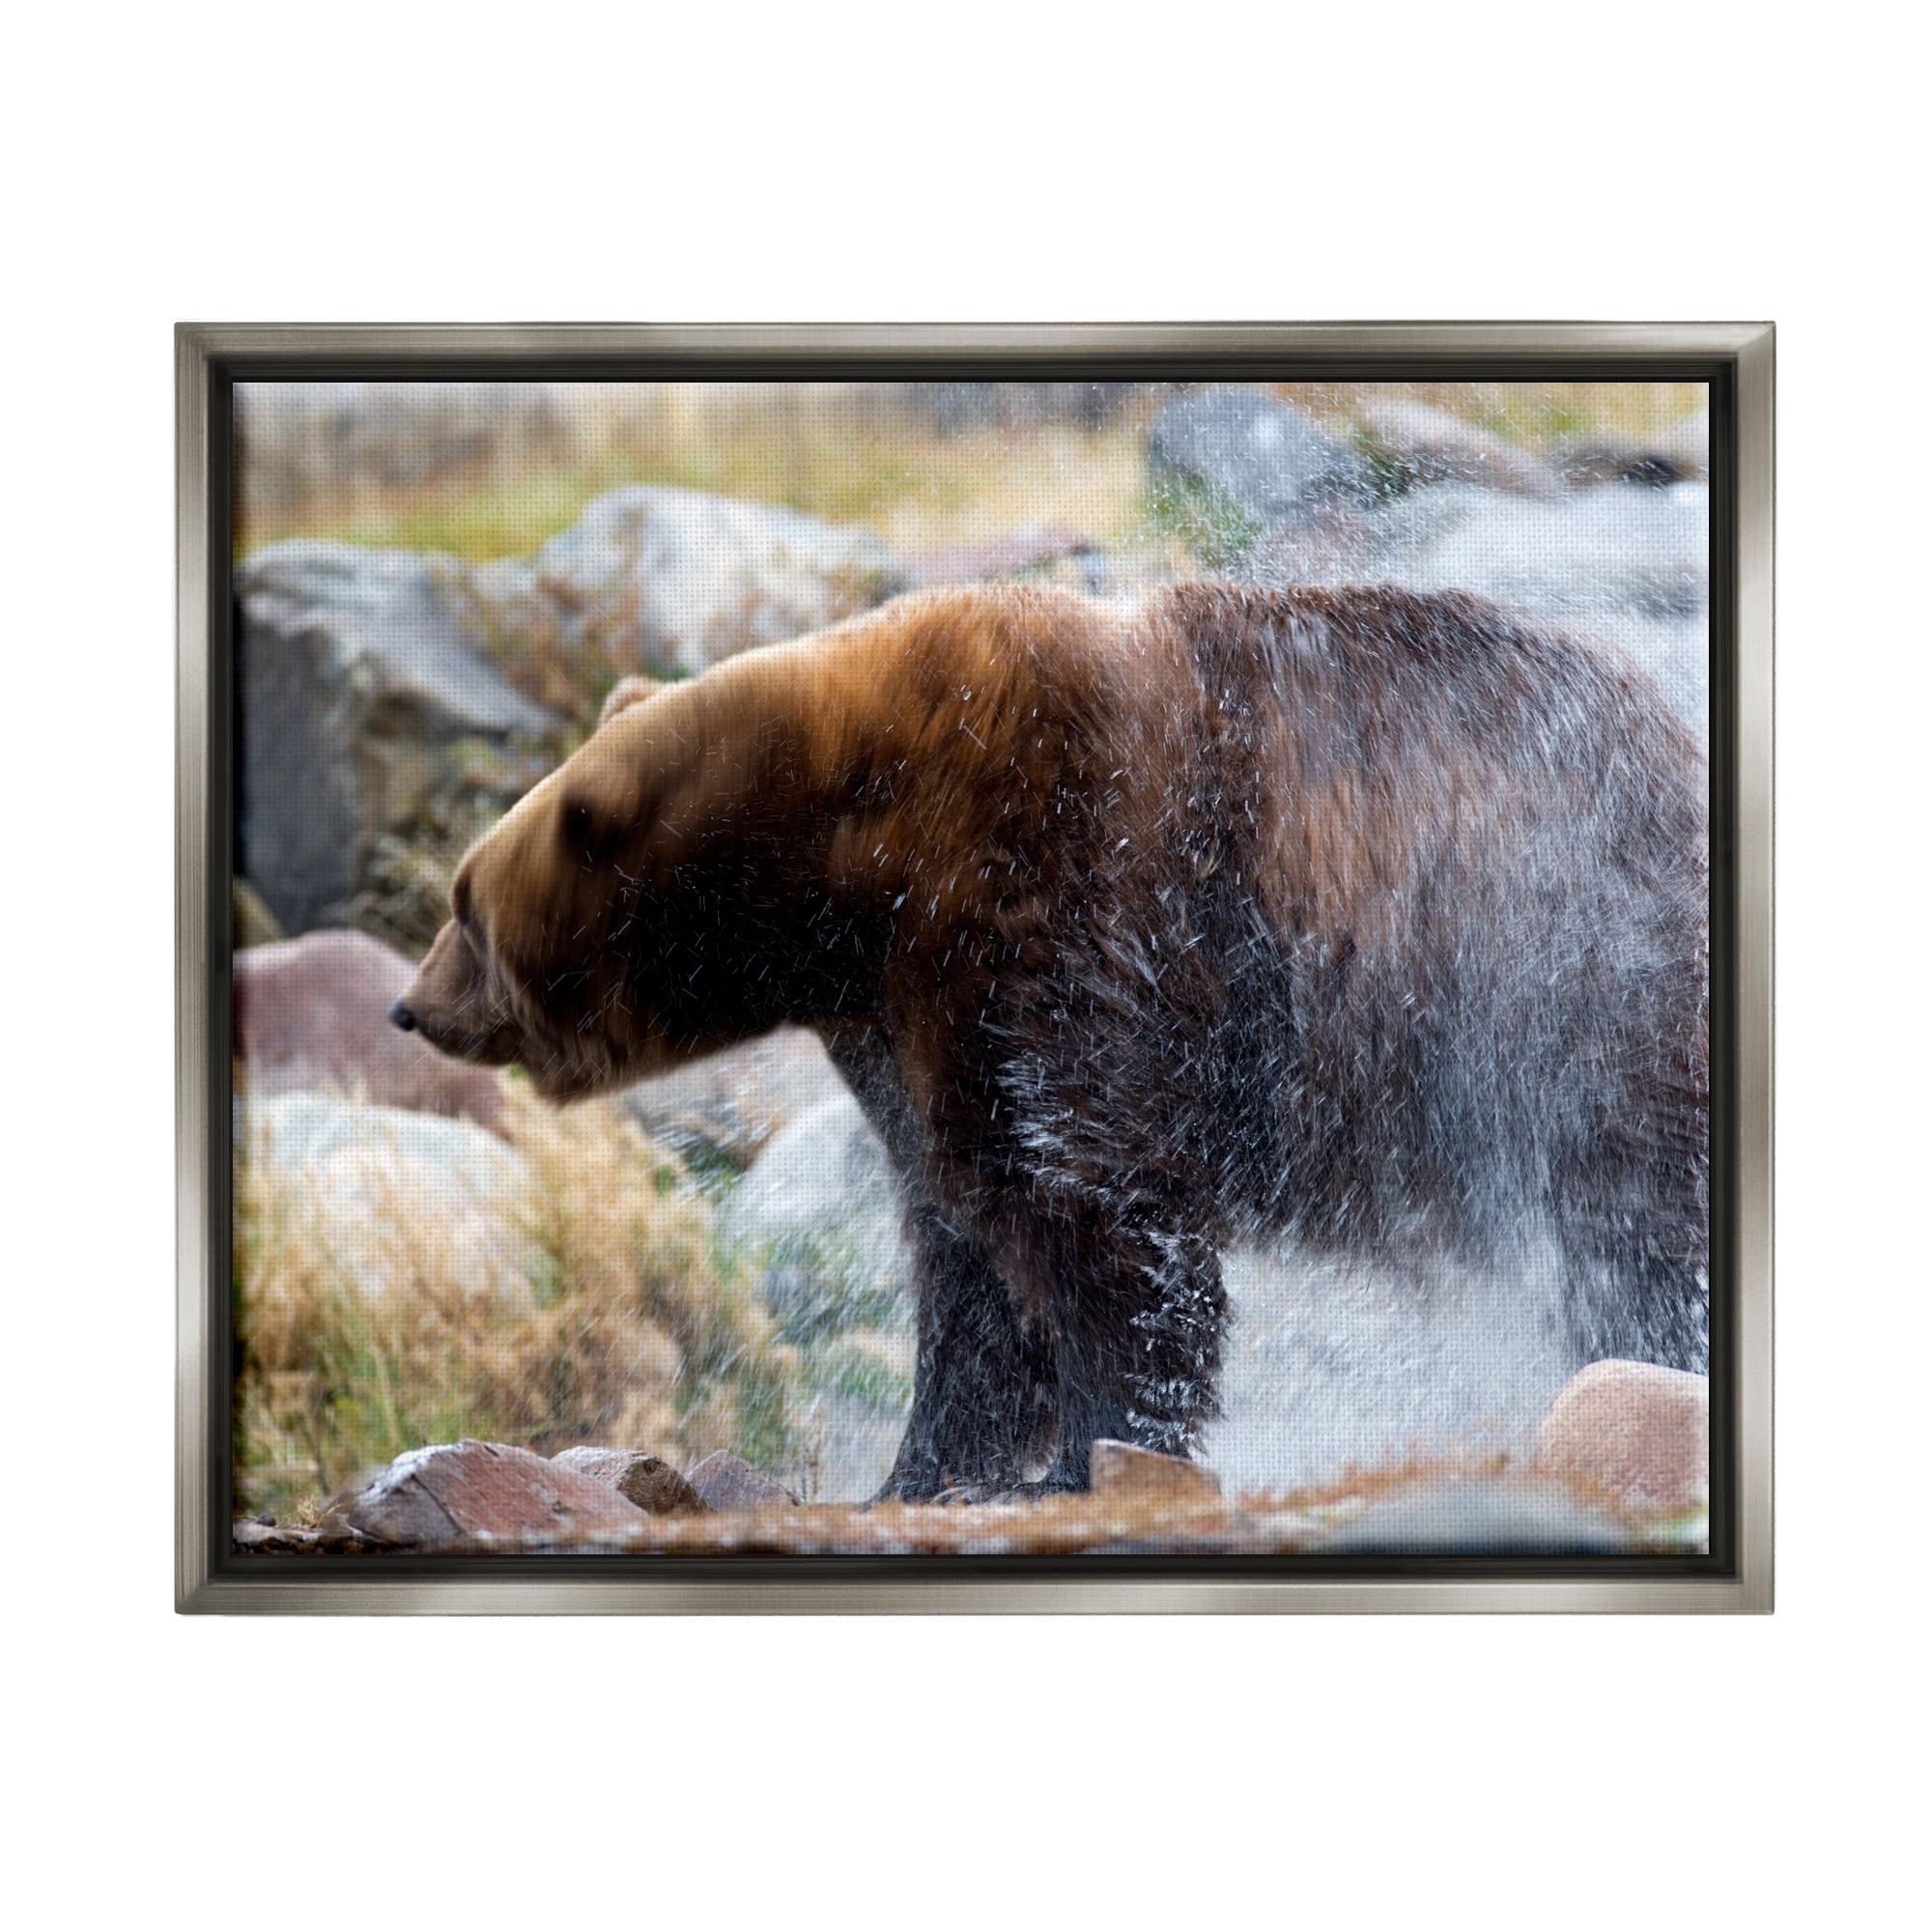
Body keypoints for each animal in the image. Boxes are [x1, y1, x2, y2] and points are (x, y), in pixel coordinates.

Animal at [391, 580, 1709, 1499]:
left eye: (463, 905)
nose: (407, 1006)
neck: (839, 867)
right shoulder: (891, 1017)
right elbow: (960, 1237)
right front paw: (921, 1466)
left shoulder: (1044, 877)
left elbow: (1083, 1200)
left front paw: (1091, 1447)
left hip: (1574, 998)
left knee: (1636, 1238)